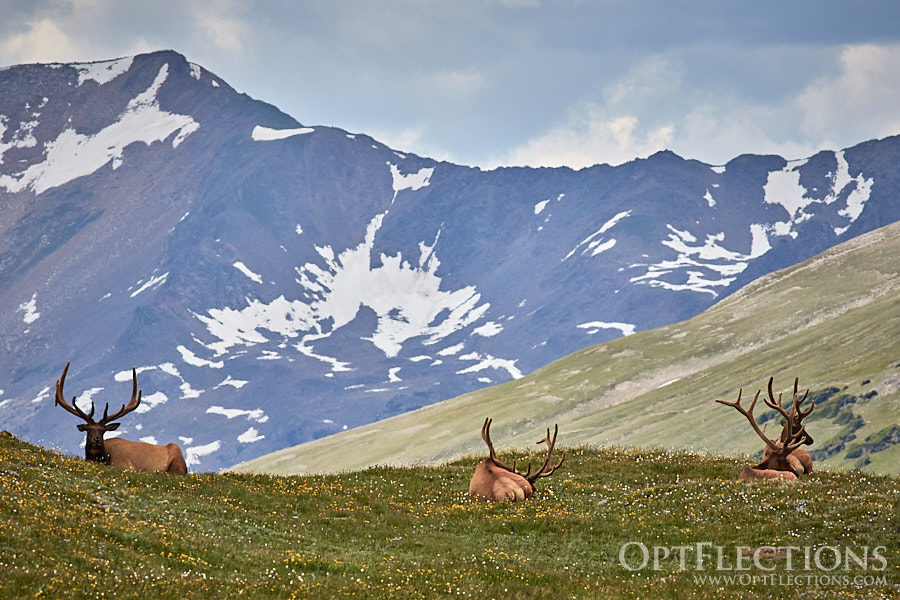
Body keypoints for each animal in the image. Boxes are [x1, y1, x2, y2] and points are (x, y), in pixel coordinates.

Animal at [55, 362, 188, 474]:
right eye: (88, 429)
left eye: (103, 431)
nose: (96, 439)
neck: (104, 459)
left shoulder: (126, 465)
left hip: (177, 462)